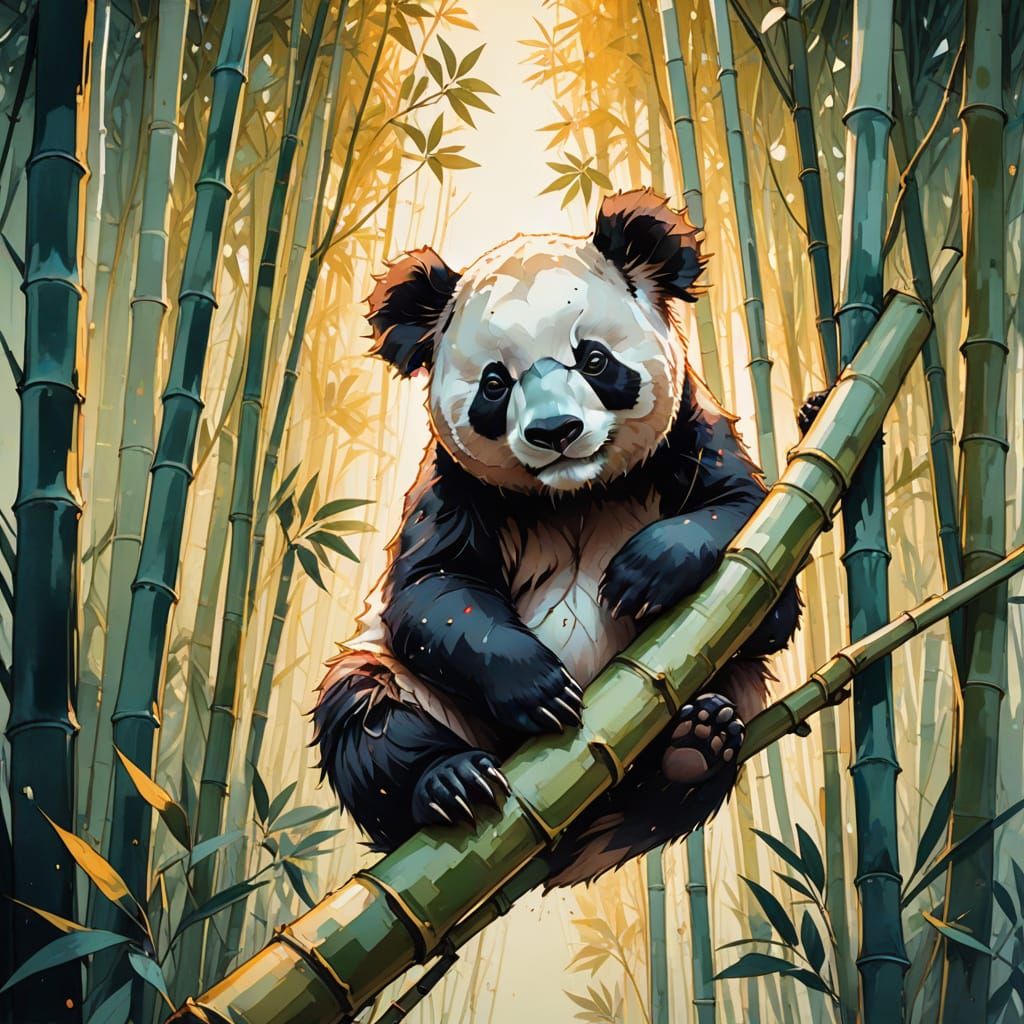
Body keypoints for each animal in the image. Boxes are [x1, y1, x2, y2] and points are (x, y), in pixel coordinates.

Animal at [312, 189, 801, 887]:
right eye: (495, 383)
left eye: (593, 360)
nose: (555, 431)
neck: (575, 495)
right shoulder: (454, 487)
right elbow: (433, 590)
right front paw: (541, 689)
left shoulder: (690, 436)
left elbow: (747, 527)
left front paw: (642, 574)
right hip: (418, 693)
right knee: (364, 717)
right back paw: (449, 783)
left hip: (721, 682)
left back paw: (696, 745)